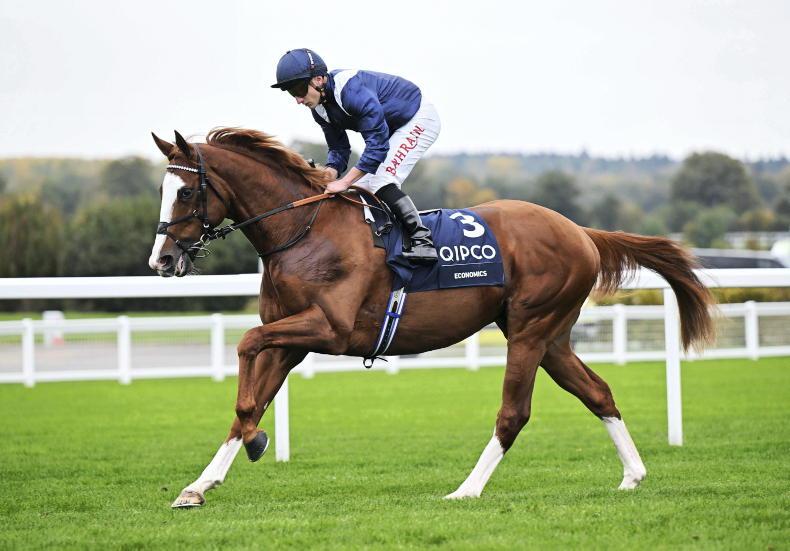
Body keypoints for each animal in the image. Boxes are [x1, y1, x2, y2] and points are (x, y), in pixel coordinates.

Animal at [148, 128, 714, 508]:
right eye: (163, 190)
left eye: (185, 191)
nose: (161, 260)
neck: (304, 229)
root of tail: (580, 231)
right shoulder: (291, 341)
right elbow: (250, 401)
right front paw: (201, 483)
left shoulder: (329, 329)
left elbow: (246, 341)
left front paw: (256, 442)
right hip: (550, 337)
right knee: (597, 392)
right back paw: (633, 475)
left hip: (531, 330)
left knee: (514, 413)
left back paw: (466, 489)